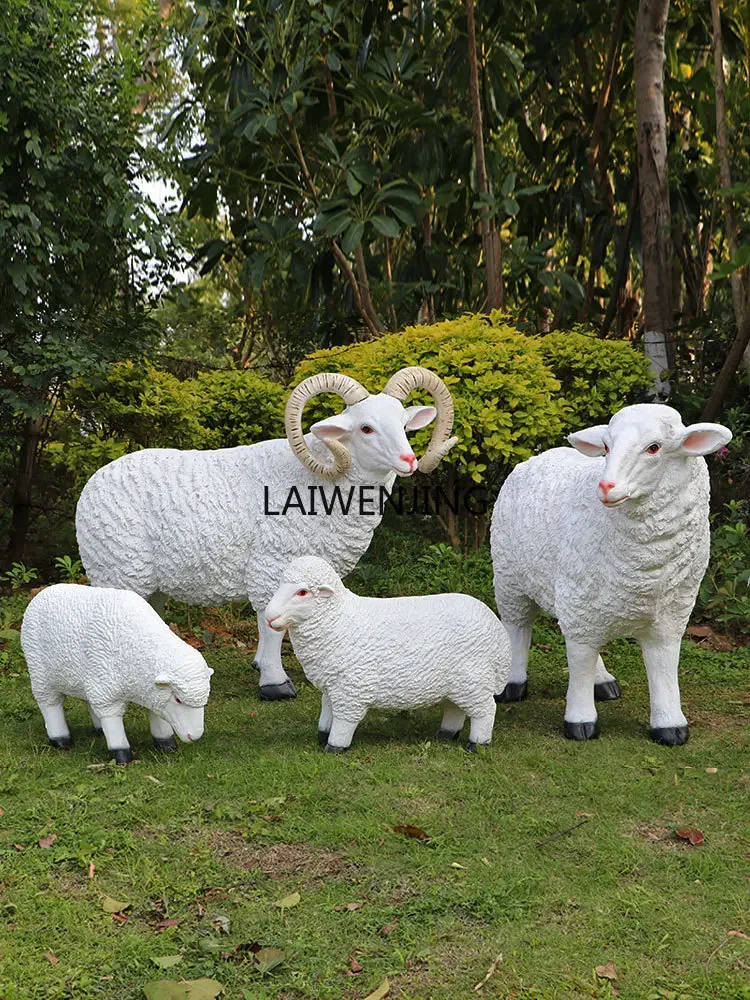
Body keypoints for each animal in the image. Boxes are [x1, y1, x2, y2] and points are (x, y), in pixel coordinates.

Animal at [20, 584, 214, 763]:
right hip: (40, 673)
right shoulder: (106, 691)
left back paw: (99, 730)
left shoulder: (149, 691)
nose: (195, 735)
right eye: (178, 699)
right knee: (49, 704)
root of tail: (44, 592)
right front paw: (122, 756)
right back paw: (60, 739)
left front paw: (166, 744)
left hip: (85, 677)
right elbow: (112, 721)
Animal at [75, 368, 458, 702]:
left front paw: (263, 664)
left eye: (404, 424)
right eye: (366, 428)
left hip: (145, 580)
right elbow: (270, 622)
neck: (320, 483)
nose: (409, 460)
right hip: (116, 568)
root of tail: (91, 485)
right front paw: (275, 684)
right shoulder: (270, 562)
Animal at [264, 555, 511, 752]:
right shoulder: (332, 684)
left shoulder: (352, 687)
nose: (268, 616)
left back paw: (477, 744)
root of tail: (497, 631)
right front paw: (323, 735)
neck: (338, 620)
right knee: (456, 708)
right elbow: (328, 711)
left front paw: (335, 746)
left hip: (473, 678)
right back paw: (445, 735)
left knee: (485, 710)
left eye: (302, 592)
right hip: (457, 683)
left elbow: (345, 718)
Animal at [490, 403, 732, 745]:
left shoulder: (671, 613)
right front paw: (580, 722)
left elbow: (663, 665)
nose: (606, 487)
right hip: (511, 576)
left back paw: (602, 680)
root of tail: (539, 455)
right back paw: (513, 683)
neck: (647, 567)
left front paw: (670, 726)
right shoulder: (579, 600)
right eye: (605, 447)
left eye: (654, 447)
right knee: (518, 626)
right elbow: (580, 659)